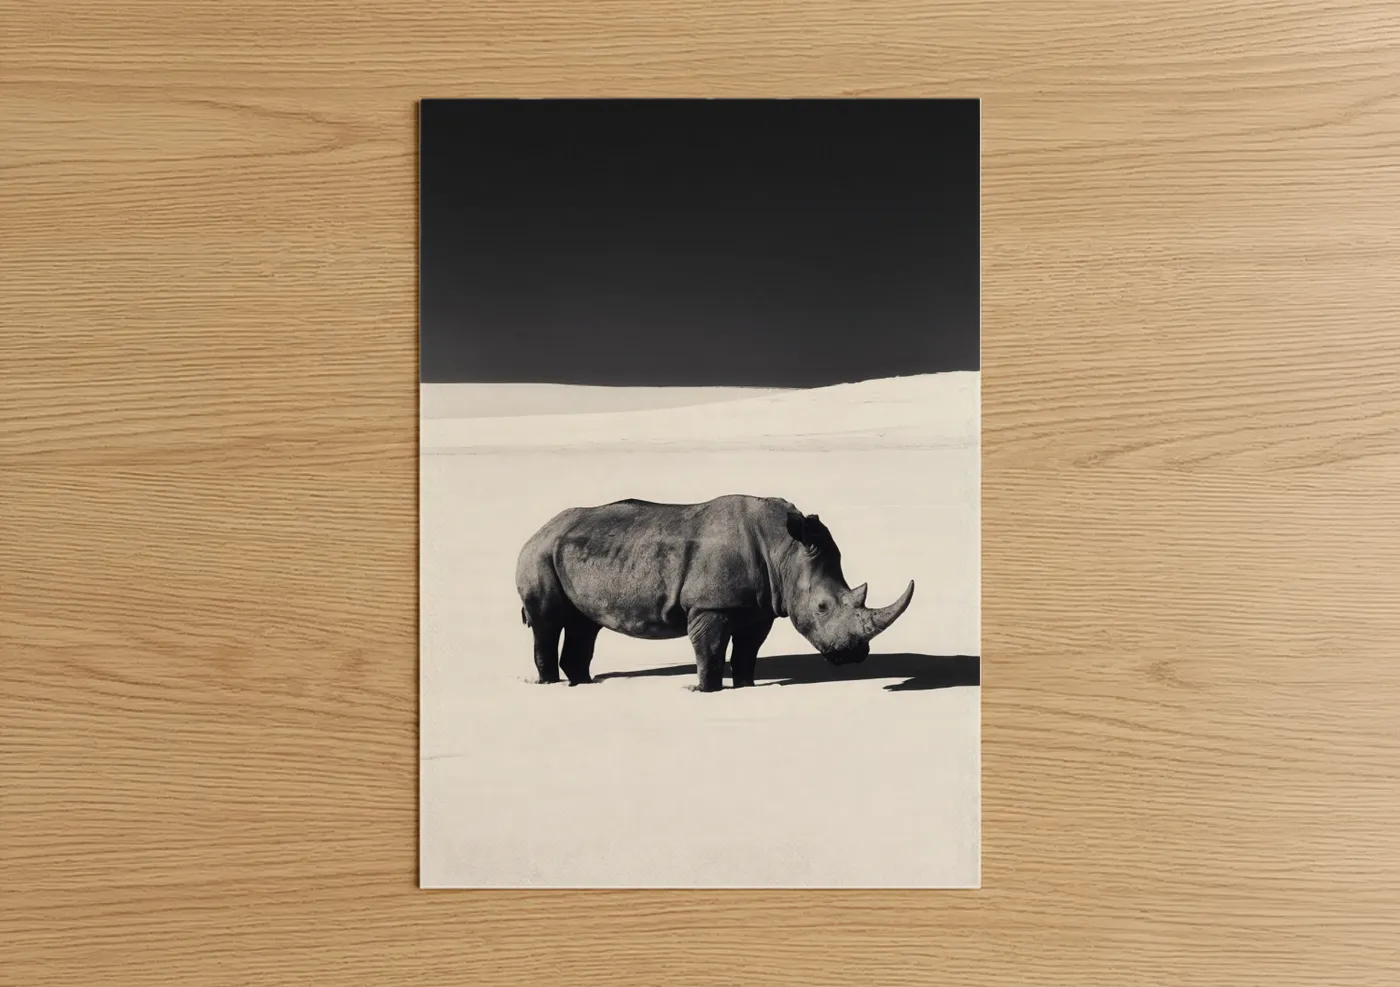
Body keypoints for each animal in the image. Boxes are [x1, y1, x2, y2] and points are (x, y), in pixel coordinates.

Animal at [514, 493, 915, 691]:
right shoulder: (710, 605)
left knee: (585, 624)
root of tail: (538, 530)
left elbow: (748, 651)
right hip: (538, 554)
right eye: (821, 607)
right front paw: (705, 691)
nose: (854, 656)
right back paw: (549, 686)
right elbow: (709, 649)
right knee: (547, 621)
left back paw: (582, 684)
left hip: (569, 553)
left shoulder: (759, 607)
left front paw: (746, 686)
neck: (783, 550)